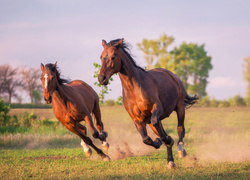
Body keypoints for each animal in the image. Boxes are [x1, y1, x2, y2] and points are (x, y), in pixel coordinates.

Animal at [97, 38, 197, 168]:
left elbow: (162, 130)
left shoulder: (157, 108)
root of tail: (173, 76)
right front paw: (159, 142)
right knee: (161, 131)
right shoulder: (137, 119)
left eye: (113, 57)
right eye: (101, 56)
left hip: (180, 107)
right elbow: (146, 139)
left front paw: (167, 140)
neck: (134, 89)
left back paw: (181, 150)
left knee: (180, 128)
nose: (101, 78)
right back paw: (170, 161)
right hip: (153, 121)